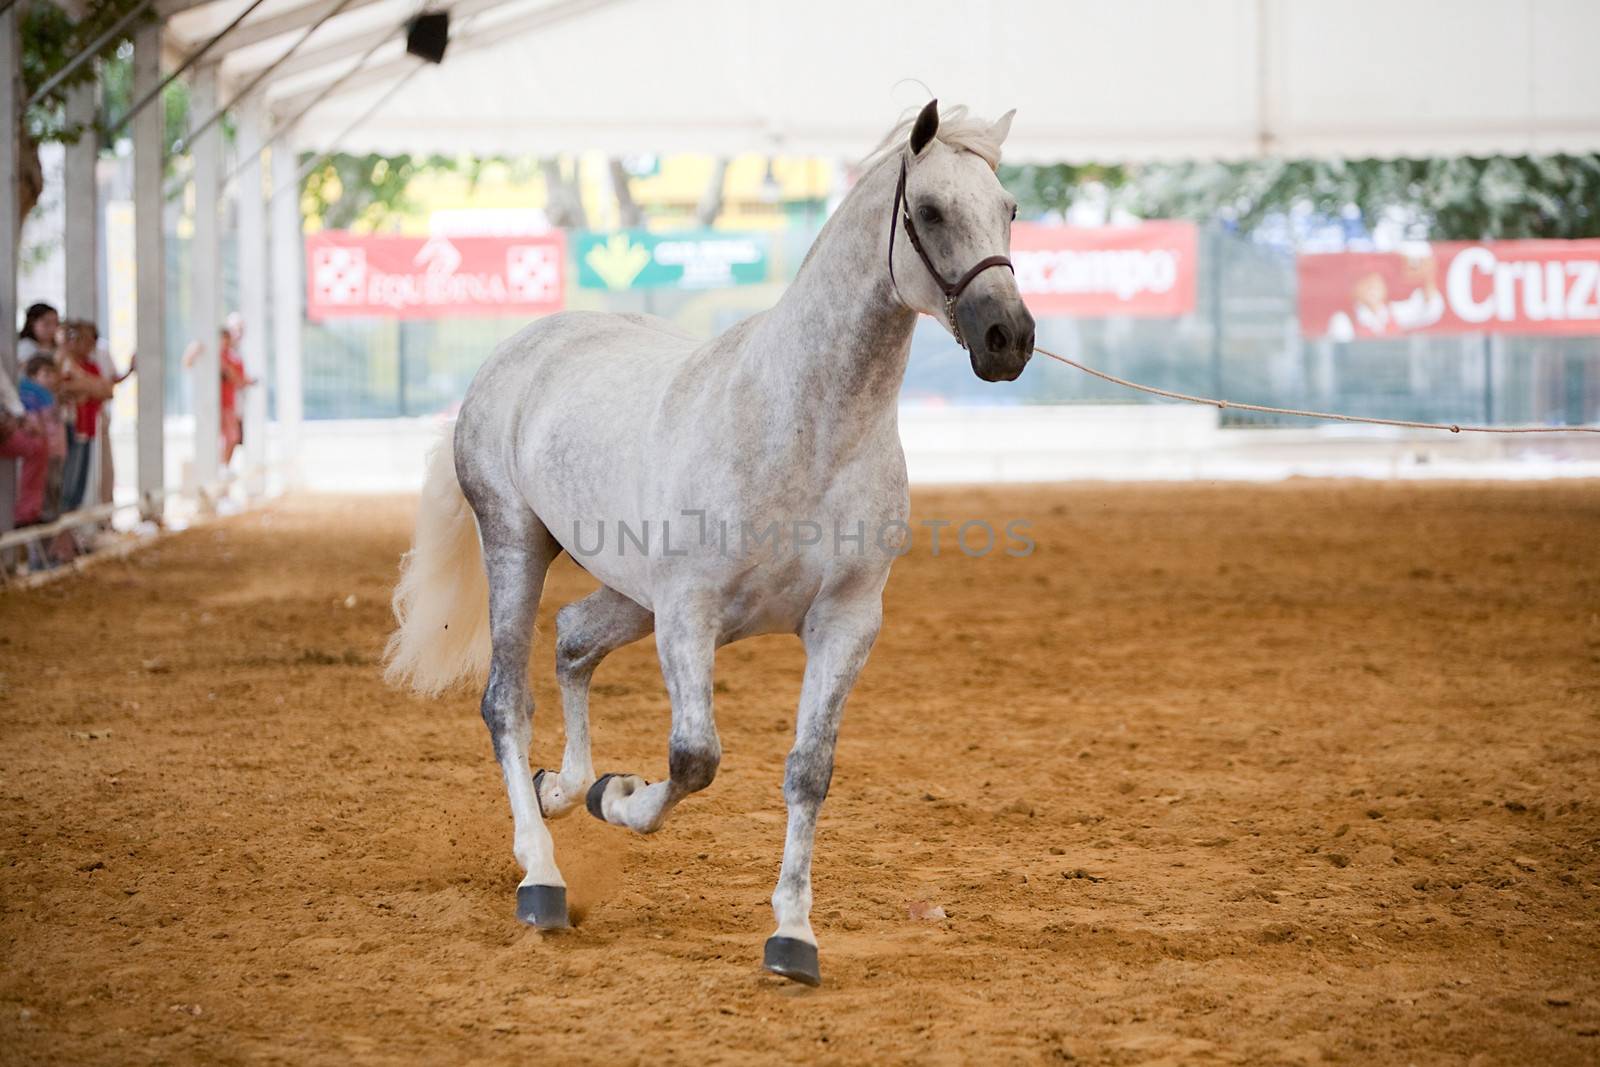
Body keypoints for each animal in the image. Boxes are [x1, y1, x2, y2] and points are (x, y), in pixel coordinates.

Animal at [387, 99, 1036, 985]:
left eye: (1009, 209)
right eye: (932, 210)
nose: (1010, 336)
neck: (804, 426)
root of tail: (519, 350)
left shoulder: (844, 622)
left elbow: (808, 770)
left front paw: (792, 933)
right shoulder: (690, 614)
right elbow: (695, 756)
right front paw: (624, 801)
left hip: (631, 595)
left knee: (573, 642)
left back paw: (566, 787)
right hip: (517, 545)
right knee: (506, 701)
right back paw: (542, 873)